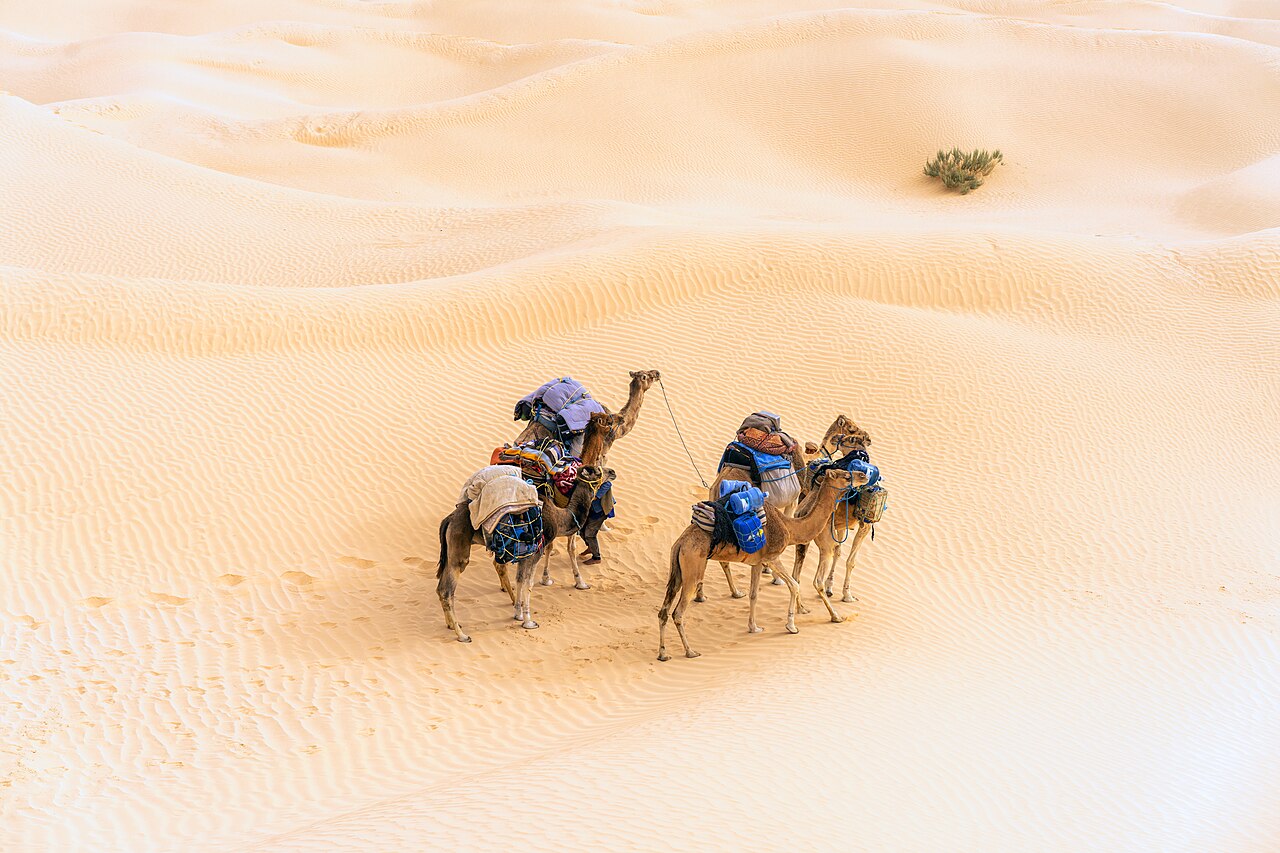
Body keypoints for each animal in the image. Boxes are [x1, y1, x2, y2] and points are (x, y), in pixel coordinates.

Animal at [436, 465, 608, 642]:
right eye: (598, 471)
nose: (613, 472)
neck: (560, 518)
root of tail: (448, 520)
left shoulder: (525, 554)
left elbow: (519, 580)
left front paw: (518, 614)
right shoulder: (536, 551)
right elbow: (528, 583)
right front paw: (529, 621)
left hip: (450, 551)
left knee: (441, 587)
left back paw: (452, 625)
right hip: (459, 548)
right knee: (448, 590)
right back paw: (462, 635)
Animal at [657, 466, 869, 661]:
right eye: (847, 475)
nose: (864, 475)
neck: (790, 528)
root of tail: (680, 543)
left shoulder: (757, 563)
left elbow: (754, 595)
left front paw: (754, 627)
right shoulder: (772, 557)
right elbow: (794, 585)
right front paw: (795, 625)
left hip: (678, 571)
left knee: (664, 611)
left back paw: (663, 654)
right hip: (693, 569)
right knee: (678, 612)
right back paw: (690, 651)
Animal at [698, 414, 861, 601]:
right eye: (851, 430)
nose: (866, 438)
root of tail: (718, 485)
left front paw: (767, 569)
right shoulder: (793, 501)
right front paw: (776, 577)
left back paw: (707, 595)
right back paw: (733, 592)